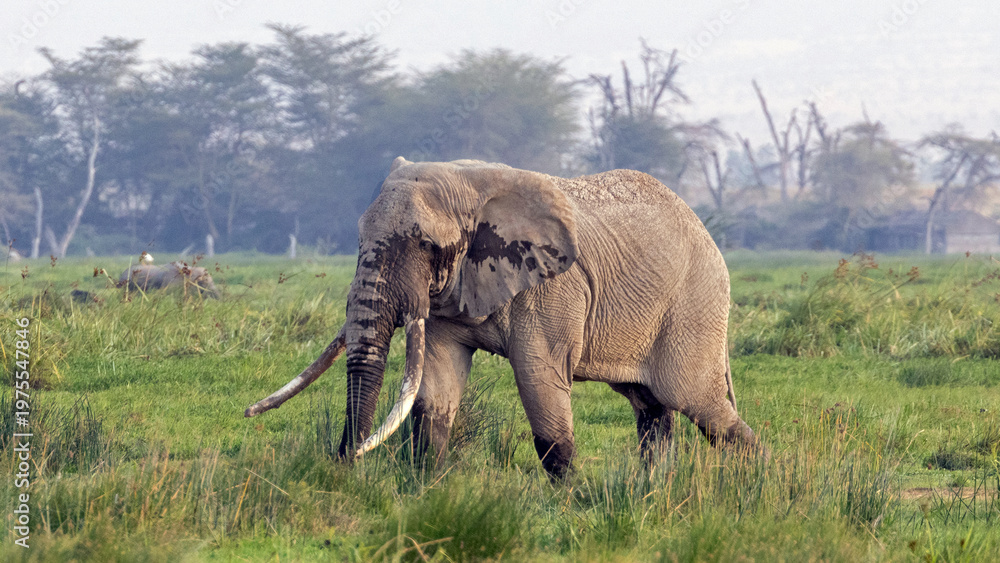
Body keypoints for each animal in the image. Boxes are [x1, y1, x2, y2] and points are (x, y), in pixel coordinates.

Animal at [246, 157, 759, 479]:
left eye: (426, 246)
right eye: (356, 240)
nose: (343, 463)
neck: (469, 185)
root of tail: (705, 231)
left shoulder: (550, 288)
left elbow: (539, 380)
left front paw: (569, 504)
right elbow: (436, 392)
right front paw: (425, 490)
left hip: (693, 305)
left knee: (698, 404)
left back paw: (760, 481)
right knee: (652, 409)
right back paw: (651, 493)